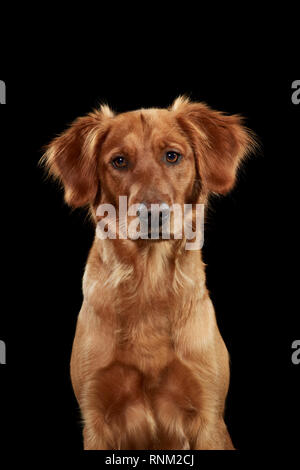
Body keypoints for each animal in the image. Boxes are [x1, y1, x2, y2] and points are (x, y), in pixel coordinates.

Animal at [42, 94, 255, 448]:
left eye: (172, 156)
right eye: (119, 161)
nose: (154, 214)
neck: (148, 282)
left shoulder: (208, 416)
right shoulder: (96, 418)